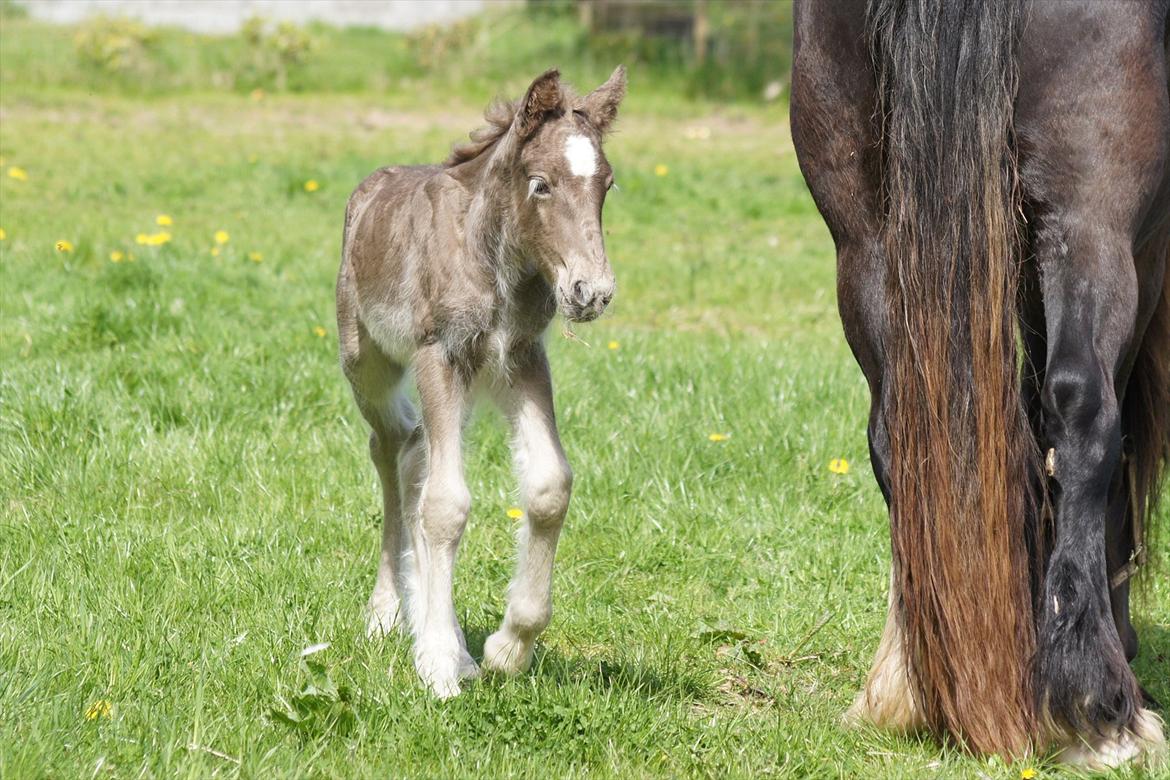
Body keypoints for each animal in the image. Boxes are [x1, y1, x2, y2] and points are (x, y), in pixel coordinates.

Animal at [336, 67, 622, 696]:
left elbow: (549, 486)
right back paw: (388, 613)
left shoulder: (519, 358)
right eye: (540, 185)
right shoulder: (439, 356)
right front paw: (442, 665)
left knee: (414, 455)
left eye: (608, 184)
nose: (591, 292)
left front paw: (506, 649)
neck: (494, 263)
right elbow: (446, 505)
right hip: (368, 361)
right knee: (389, 449)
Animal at [790, 0, 1165, 767]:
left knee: (898, 430)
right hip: (1093, 219)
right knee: (1085, 414)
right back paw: (1097, 707)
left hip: (863, 237)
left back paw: (912, 683)